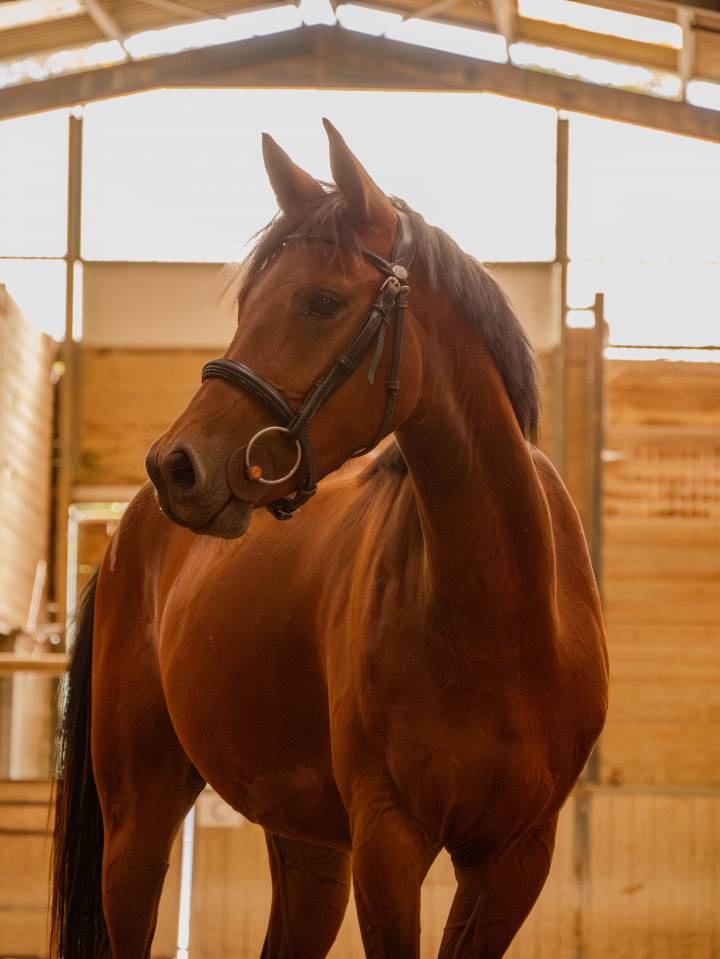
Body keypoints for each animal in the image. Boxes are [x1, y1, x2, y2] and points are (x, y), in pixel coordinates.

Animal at [51, 119, 608, 959]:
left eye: (322, 300)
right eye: (248, 302)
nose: (175, 465)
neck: (500, 614)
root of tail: (127, 538)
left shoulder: (514, 860)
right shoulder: (389, 841)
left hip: (309, 848)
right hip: (137, 821)